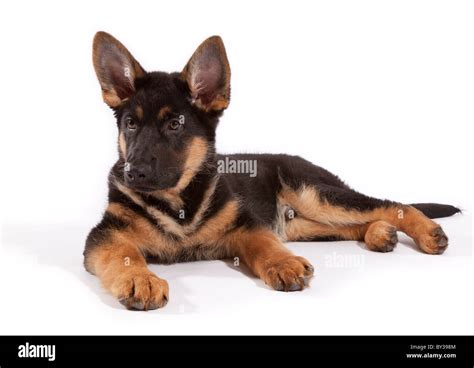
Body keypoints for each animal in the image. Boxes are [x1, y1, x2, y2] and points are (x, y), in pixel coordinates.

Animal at [84, 32, 460, 310]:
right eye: (131, 124)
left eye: (175, 124)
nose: (134, 173)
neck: (178, 202)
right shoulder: (105, 236)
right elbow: (124, 254)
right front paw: (140, 279)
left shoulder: (245, 225)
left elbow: (264, 243)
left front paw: (282, 264)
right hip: (306, 225)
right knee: (351, 223)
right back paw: (379, 234)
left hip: (315, 195)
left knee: (390, 204)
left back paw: (425, 231)